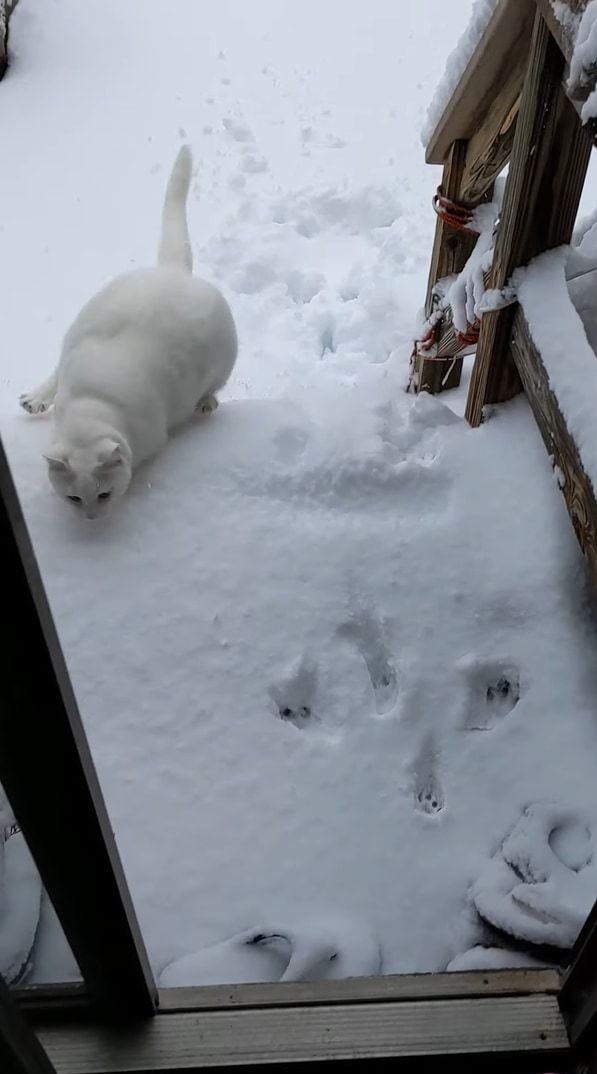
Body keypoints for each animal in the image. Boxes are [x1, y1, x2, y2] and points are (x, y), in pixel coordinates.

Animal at [20, 147, 240, 519]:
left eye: (104, 494)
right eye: (73, 498)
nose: (91, 517)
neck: (92, 403)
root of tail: (173, 271)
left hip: (225, 358)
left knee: (215, 385)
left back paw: (206, 403)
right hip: (79, 326)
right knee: (53, 373)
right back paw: (35, 399)